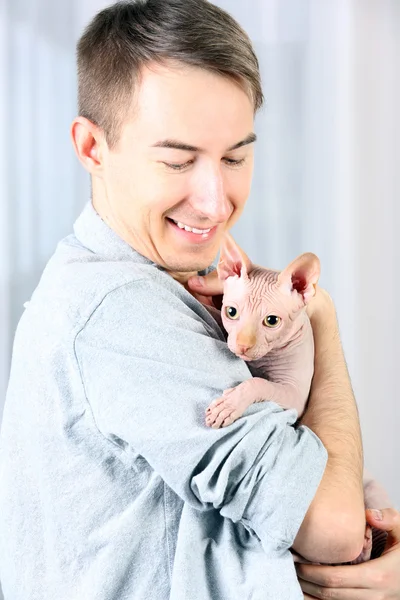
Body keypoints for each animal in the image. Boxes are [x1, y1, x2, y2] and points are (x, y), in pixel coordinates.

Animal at [205, 233, 392, 564]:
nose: (242, 347)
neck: (264, 360)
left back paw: (365, 545)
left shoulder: (293, 394)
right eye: (231, 312)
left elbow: (256, 383)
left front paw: (230, 404)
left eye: (272, 321)